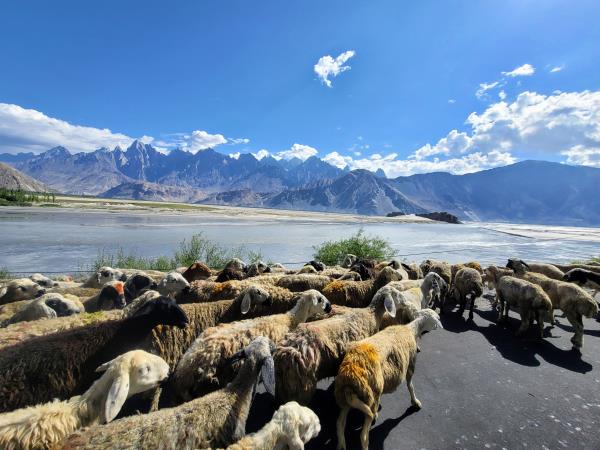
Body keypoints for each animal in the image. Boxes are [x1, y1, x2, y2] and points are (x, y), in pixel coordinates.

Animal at [336, 310, 442, 450]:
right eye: (436, 318)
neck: (411, 329)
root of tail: (350, 374)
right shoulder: (411, 363)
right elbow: (410, 385)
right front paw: (415, 402)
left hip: (345, 399)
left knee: (340, 424)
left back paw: (341, 444)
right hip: (371, 396)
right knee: (363, 436)